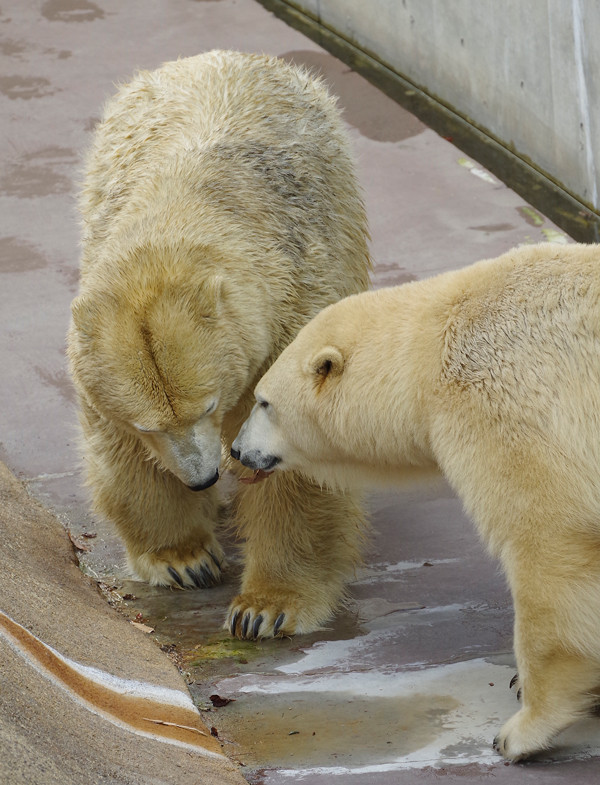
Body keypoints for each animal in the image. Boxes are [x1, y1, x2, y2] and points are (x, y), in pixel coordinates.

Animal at [68, 49, 372, 640]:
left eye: (207, 405)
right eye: (150, 424)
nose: (202, 476)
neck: (189, 201)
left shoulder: (295, 311)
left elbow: (296, 454)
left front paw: (266, 608)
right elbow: (122, 453)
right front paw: (184, 559)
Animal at [231, 243, 600, 760]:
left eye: (263, 402)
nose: (236, 450)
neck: (431, 344)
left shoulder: (507, 402)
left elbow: (550, 538)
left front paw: (520, 730)